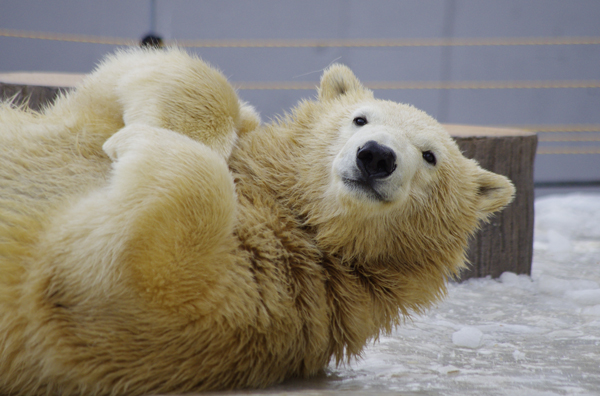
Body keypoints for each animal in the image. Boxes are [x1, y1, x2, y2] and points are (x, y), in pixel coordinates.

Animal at [0, 48, 516, 394]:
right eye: (360, 119)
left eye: (430, 155)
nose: (375, 156)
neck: (292, 214)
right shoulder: (83, 117)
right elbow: (144, 77)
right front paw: (170, 129)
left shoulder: (270, 296)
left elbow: (133, 276)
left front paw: (143, 141)